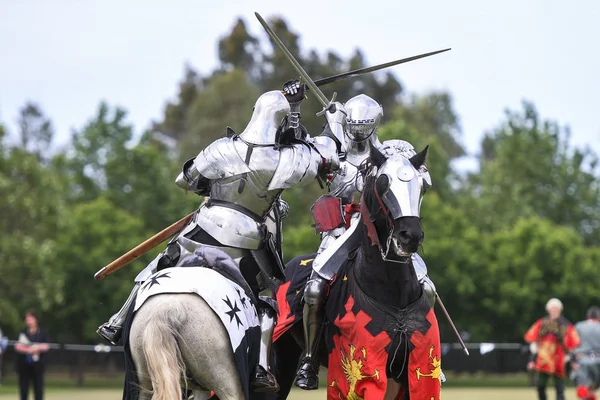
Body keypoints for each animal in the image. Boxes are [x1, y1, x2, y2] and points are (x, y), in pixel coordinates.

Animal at [251, 144, 442, 400]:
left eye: (422, 186)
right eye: (382, 183)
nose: (410, 236)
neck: (392, 294)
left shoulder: (414, 374)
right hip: (282, 358)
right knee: (314, 289)